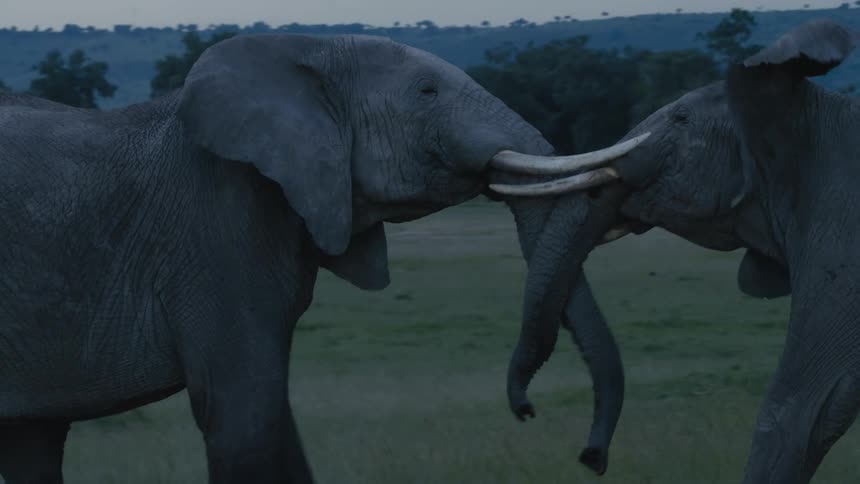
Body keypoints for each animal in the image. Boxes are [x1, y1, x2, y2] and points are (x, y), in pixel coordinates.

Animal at [0, 32, 649, 483]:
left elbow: (275, 418)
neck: (302, 50)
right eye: (427, 92)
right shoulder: (216, 222)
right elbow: (245, 419)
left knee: (34, 444)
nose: (589, 456)